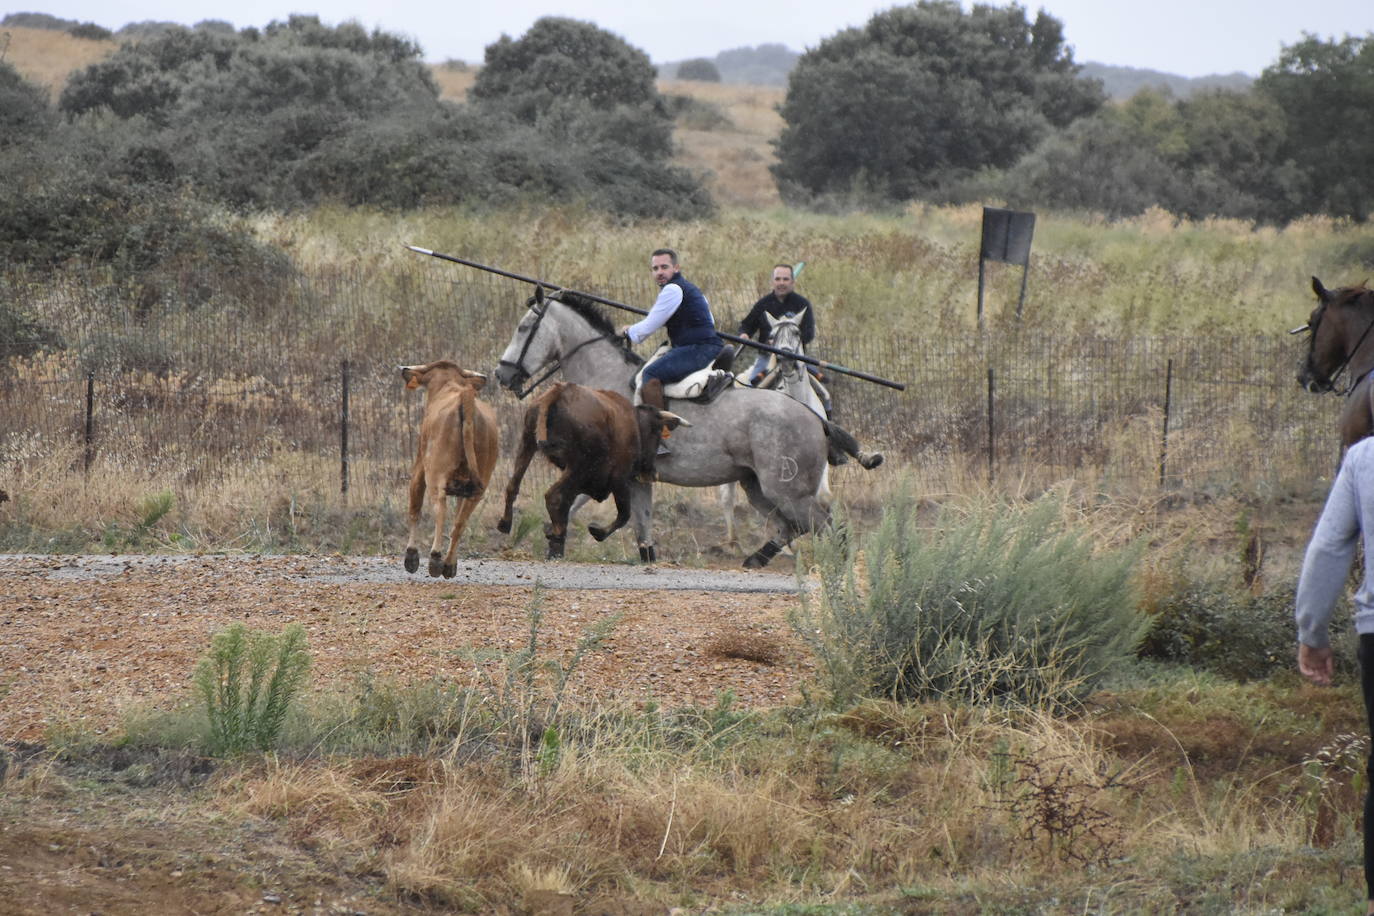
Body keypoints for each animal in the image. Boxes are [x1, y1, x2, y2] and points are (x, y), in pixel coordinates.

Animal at [398, 362, 500, 576]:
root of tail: (465, 398)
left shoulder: (420, 468)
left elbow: (415, 508)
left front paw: (411, 556)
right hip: (479, 484)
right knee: (460, 522)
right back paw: (449, 564)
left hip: (435, 474)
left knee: (440, 507)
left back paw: (436, 558)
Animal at [494, 379, 687, 560]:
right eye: (657, 433)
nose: (652, 473)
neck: (635, 425)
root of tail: (559, 391)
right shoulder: (620, 479)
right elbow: (624, 514)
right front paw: (597, 532)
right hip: (578, 464)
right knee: (553, 496)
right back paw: (556, 536)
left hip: (528, 443)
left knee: (513, 486)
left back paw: (505, 523)